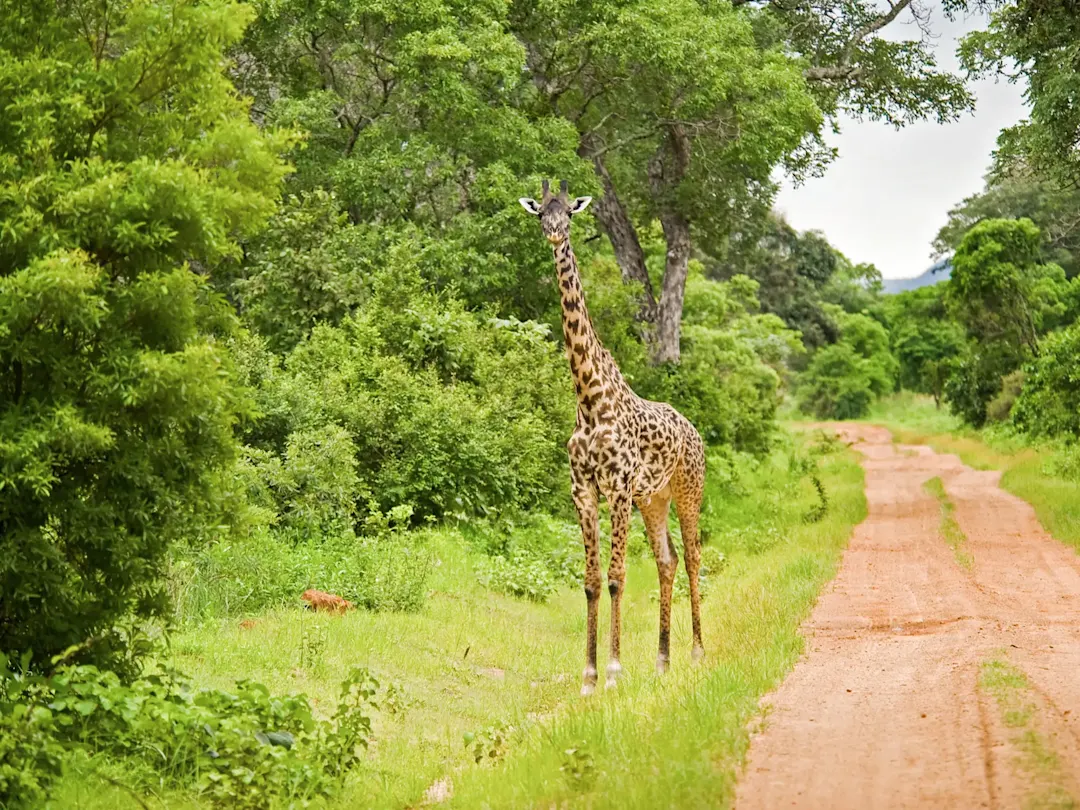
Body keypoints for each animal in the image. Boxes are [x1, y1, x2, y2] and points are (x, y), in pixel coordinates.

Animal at [519, 180, 706, 696]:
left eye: (569, 212)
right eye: (540, 211)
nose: (554, 232)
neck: (588, 399)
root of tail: (695, 431)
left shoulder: (618, 488)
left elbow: (618, 576)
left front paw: (615, 673)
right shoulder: (583, 491)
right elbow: (589, 579)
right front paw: (588, 676)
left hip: (687, 491)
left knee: (693, 557)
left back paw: (698, 653)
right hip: (654, 498)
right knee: (667, 559)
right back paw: (662, 661)